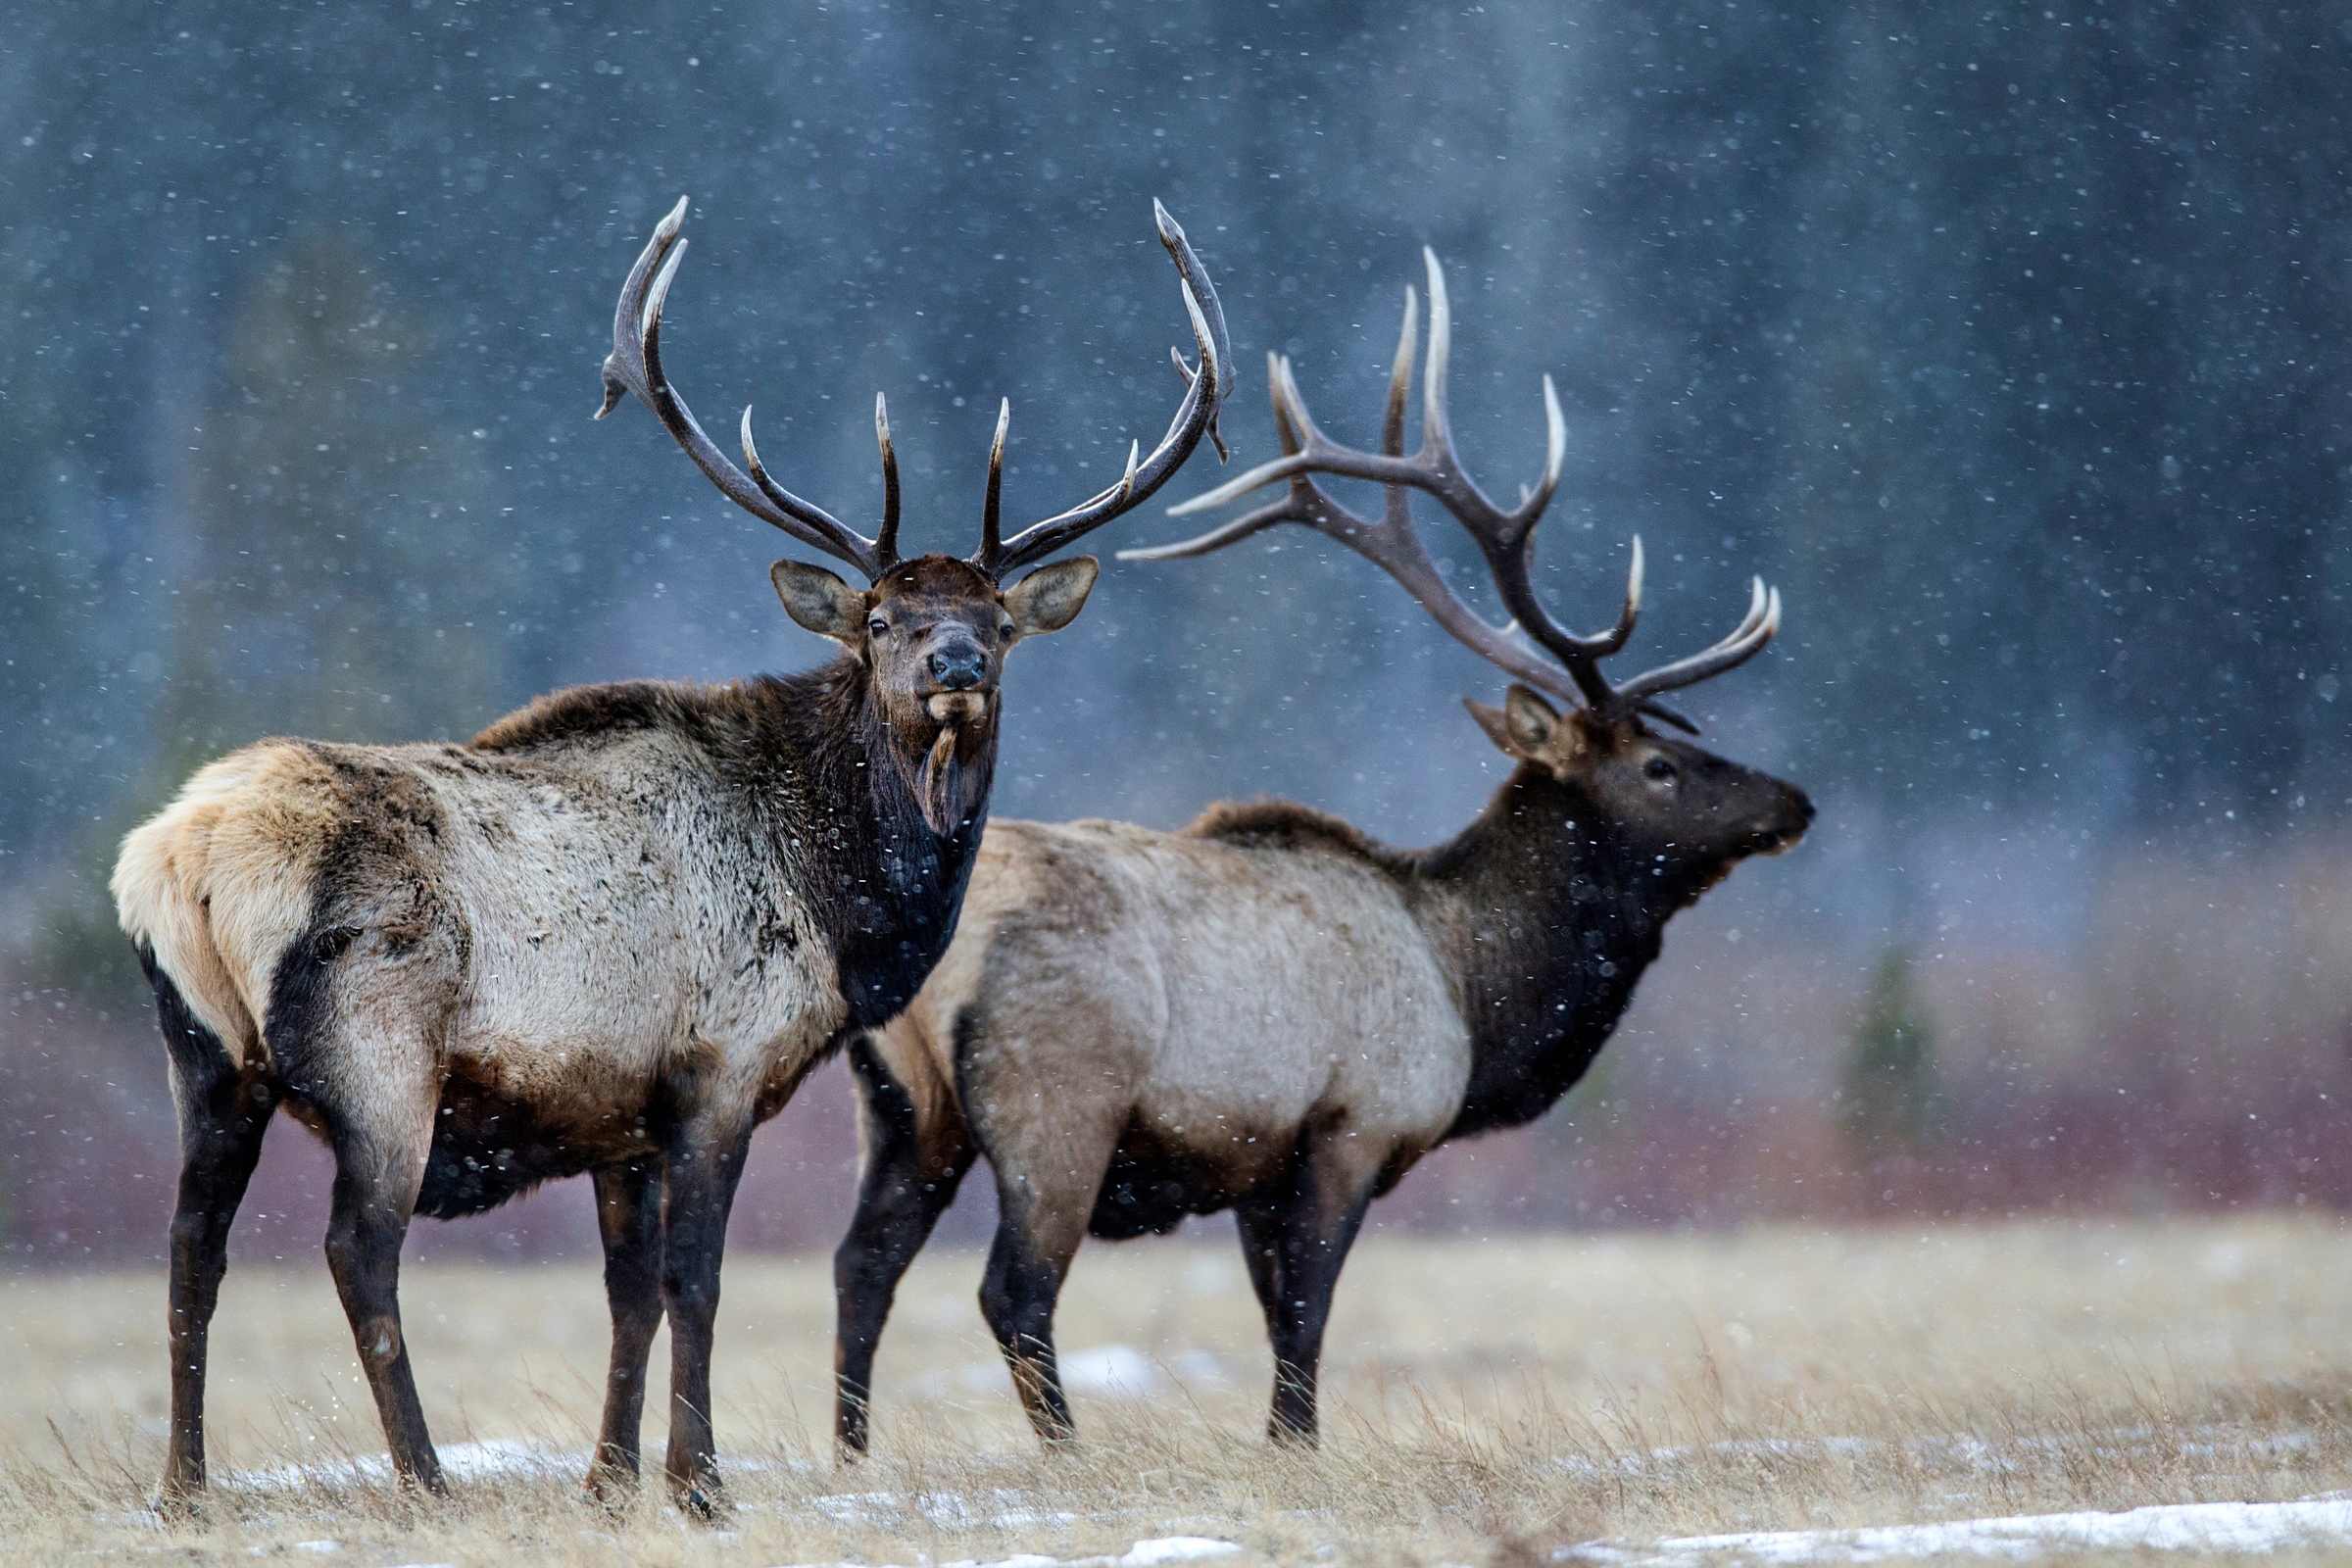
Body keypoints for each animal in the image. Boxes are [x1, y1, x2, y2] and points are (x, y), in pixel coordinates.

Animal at [110, 192, 1232, 1504]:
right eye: (883, 619)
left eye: (997, 619)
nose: (956, 664)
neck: (841, 900)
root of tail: (177, 862)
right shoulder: (719, 1067)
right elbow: (696, 1281)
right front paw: (699, 1483)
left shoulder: (617, 1116)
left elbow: (628, 1297)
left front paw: (610, 1480)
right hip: (378, 1047)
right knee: (356, 1250)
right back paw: (427, 1477)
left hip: (203, 1055)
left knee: (190, 1250)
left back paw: (185, 1487)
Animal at [832, 248, 1815, 1457]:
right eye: (1662, 765)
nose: (1794, 800)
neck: (1468, 984)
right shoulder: (1352, 1125)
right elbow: (1304, 1320)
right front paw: (1292, 1446)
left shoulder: (1262, 1163)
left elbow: (1275, 1314)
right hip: (1056, 1098)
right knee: (1013, 1288)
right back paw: (1065, 1451)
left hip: (899, 1107)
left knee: (861, 1267)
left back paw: (853, 1450)